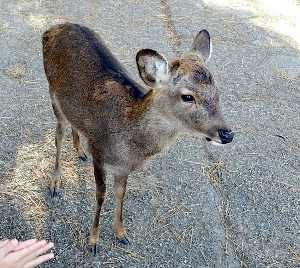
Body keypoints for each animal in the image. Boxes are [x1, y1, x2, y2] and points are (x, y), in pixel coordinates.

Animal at [42, 23, 234, 255]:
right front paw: (93, 240)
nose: (227, 134)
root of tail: (51, 29)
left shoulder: (123, 166)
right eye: (188, 96)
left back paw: (80, 152)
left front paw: (121, 233)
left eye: (217, 92)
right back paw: (55, 183)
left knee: (74, 124)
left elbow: (121, 192)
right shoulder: (99, 152)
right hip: (53, 93)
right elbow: (101, 194)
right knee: (58, 134)